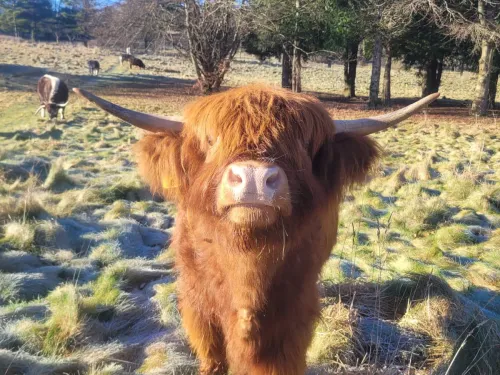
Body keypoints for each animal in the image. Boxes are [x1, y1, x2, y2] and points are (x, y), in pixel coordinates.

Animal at [73, 86, 438, 375]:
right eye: (211, 140)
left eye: (304, 144)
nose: (253, 178)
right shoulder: (198, 307)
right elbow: (213, 357)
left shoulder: (293, 314)